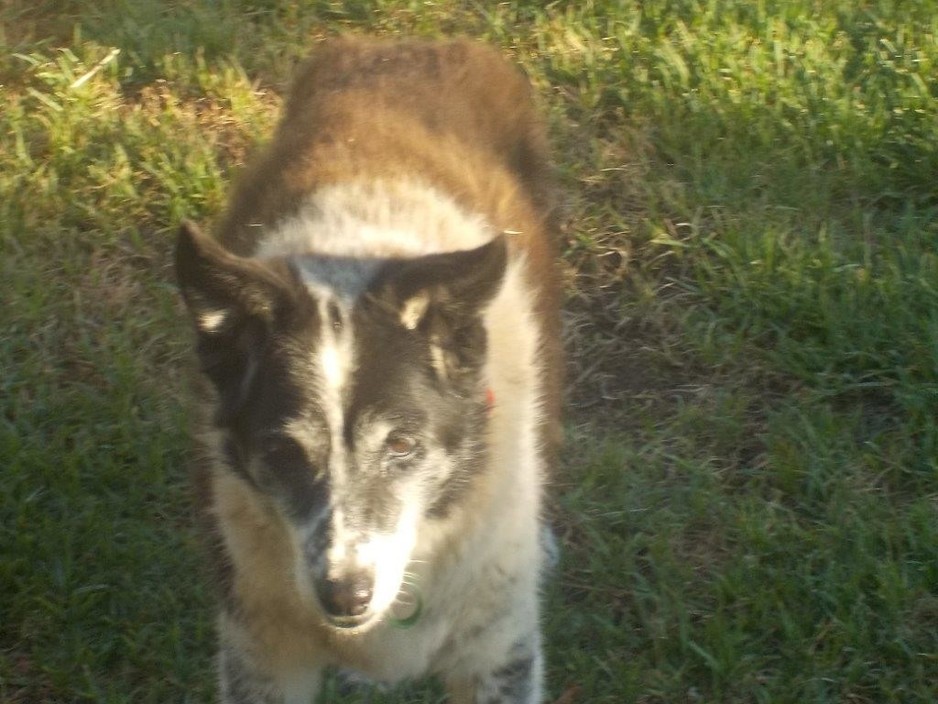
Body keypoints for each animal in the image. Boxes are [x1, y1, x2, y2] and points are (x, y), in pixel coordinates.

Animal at [173, 38, 560, 704]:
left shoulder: (497, 650)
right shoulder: (260, 647)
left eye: (403, 445)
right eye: (280, 452)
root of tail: (411, 41)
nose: (345, 595)